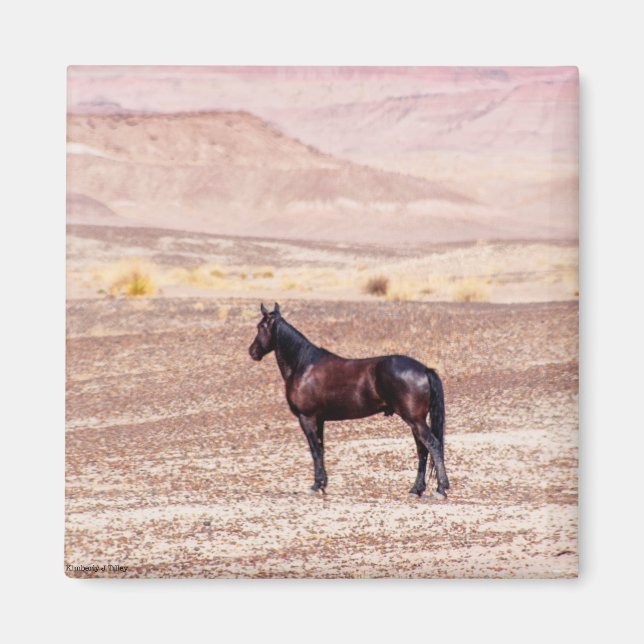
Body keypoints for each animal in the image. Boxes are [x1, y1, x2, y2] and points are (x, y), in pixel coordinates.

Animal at [248, 302, 450, 499]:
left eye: (260, 326)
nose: (252, 352)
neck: (303, 365)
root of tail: (424, 369)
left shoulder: (307, 418)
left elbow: (315, 450)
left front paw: (315, 486)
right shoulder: (319, 420)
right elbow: (321, 449)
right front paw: (323, 485)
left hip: (415, 420)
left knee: (432, 445)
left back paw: (440, 489)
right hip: (416, 422)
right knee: (422, 450)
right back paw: (416, 490)